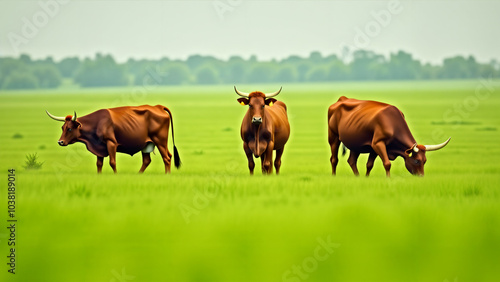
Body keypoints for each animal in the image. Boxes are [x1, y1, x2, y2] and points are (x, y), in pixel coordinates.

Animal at [46, 104, 181, 173]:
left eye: (69, 128)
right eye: (62, 127)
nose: (60, 142)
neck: (97, 123)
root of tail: (158, 106)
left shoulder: (111, 143)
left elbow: (112, 162)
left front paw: (115, 175)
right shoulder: (98, 147)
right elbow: (99, 164)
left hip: (160, 141)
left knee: (167, 157)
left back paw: (167, 175)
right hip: (147, 144)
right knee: (147, 161)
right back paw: (138, 175)